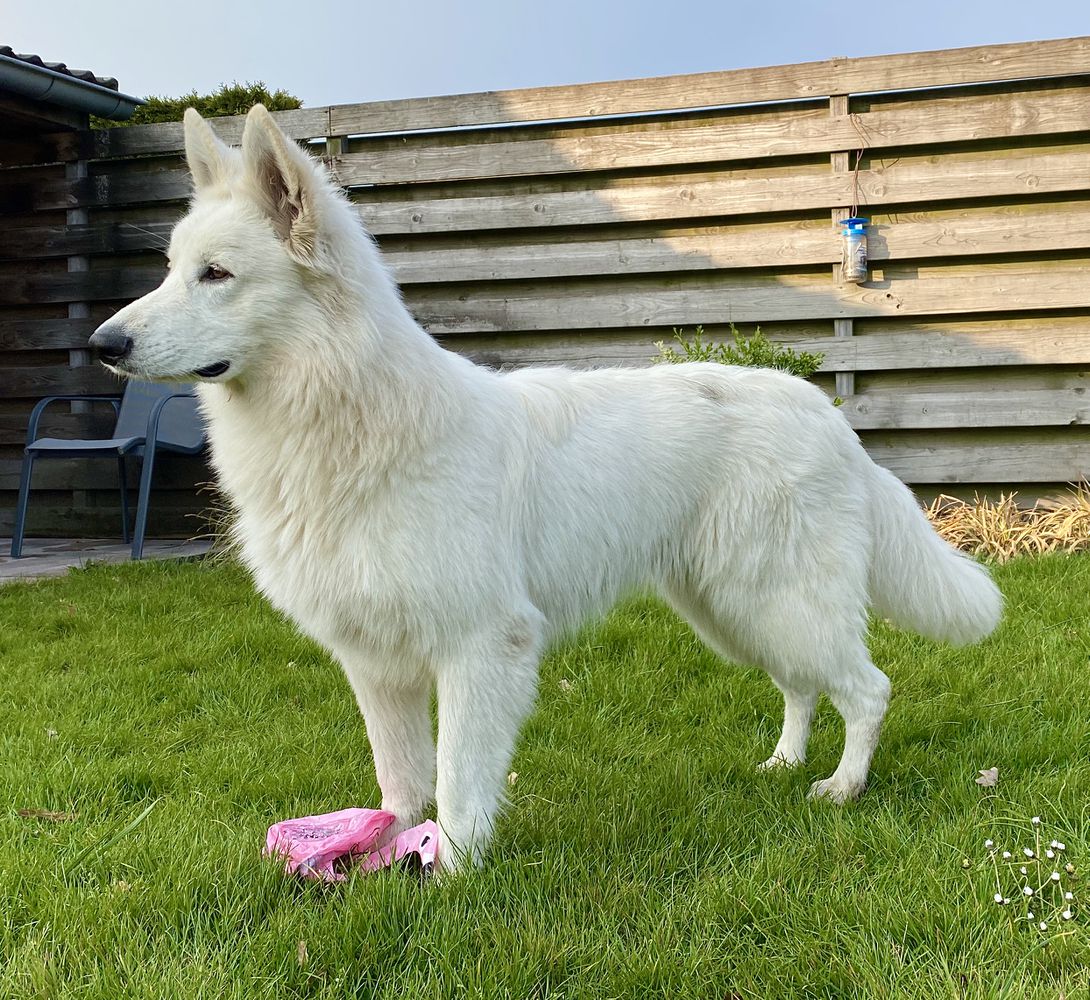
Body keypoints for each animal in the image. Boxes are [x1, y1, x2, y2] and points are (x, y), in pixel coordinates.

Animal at [89, 103, 998, 868]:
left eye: (216, 275)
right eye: (170, 270)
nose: (103, 345)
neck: (351, 418)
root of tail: (829, 415)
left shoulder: (480, 648)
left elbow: (457, 780)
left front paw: (449, 871)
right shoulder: (376, 665)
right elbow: (400, 780)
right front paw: (385, 849)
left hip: (775, 599)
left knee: (868, 688)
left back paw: (843, 786)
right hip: (734, 610)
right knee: (804, 684)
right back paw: (783, 761)